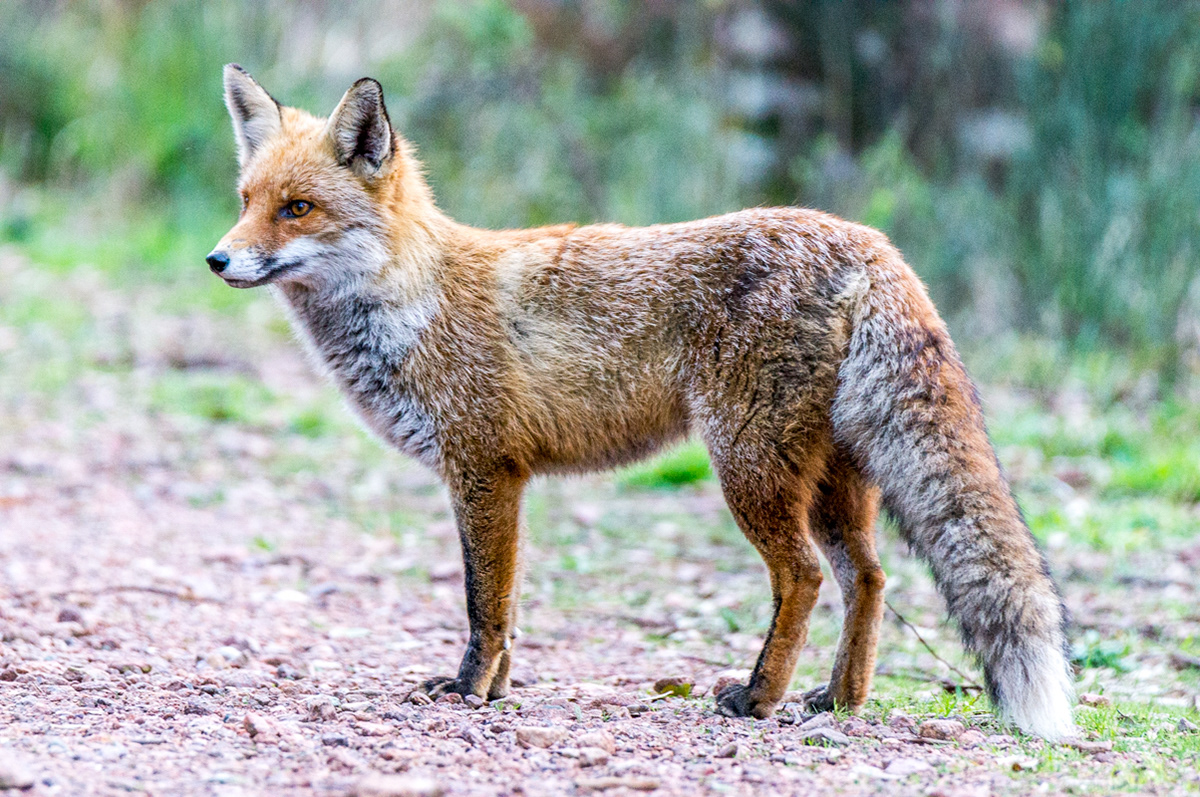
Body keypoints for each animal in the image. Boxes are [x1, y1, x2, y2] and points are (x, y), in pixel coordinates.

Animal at [207, 64, 1077, 740]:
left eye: (297, 208)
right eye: (246, 198)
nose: (218, 259)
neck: (413, 301)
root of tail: (866, 240)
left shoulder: (483, 469)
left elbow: (484, 605)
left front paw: (468, 690)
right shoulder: (505, 480)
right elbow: (509, 606)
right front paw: (497, 689)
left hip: (748, 467)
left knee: (802, 577)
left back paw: (757, 696)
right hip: (835, 481)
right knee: (868, 577)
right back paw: (837, 699)